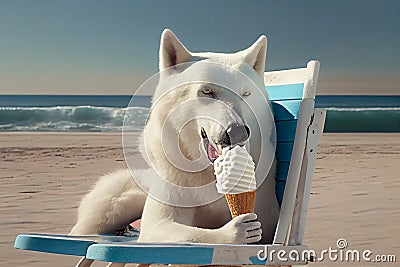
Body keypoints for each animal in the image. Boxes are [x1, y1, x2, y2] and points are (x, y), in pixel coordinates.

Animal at [70, 29, 280, 245]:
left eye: (246, 93)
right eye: (207, 91)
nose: (236, 132)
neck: (205, 171)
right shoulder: (176, 180)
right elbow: (161, 226)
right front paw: (238, 230)